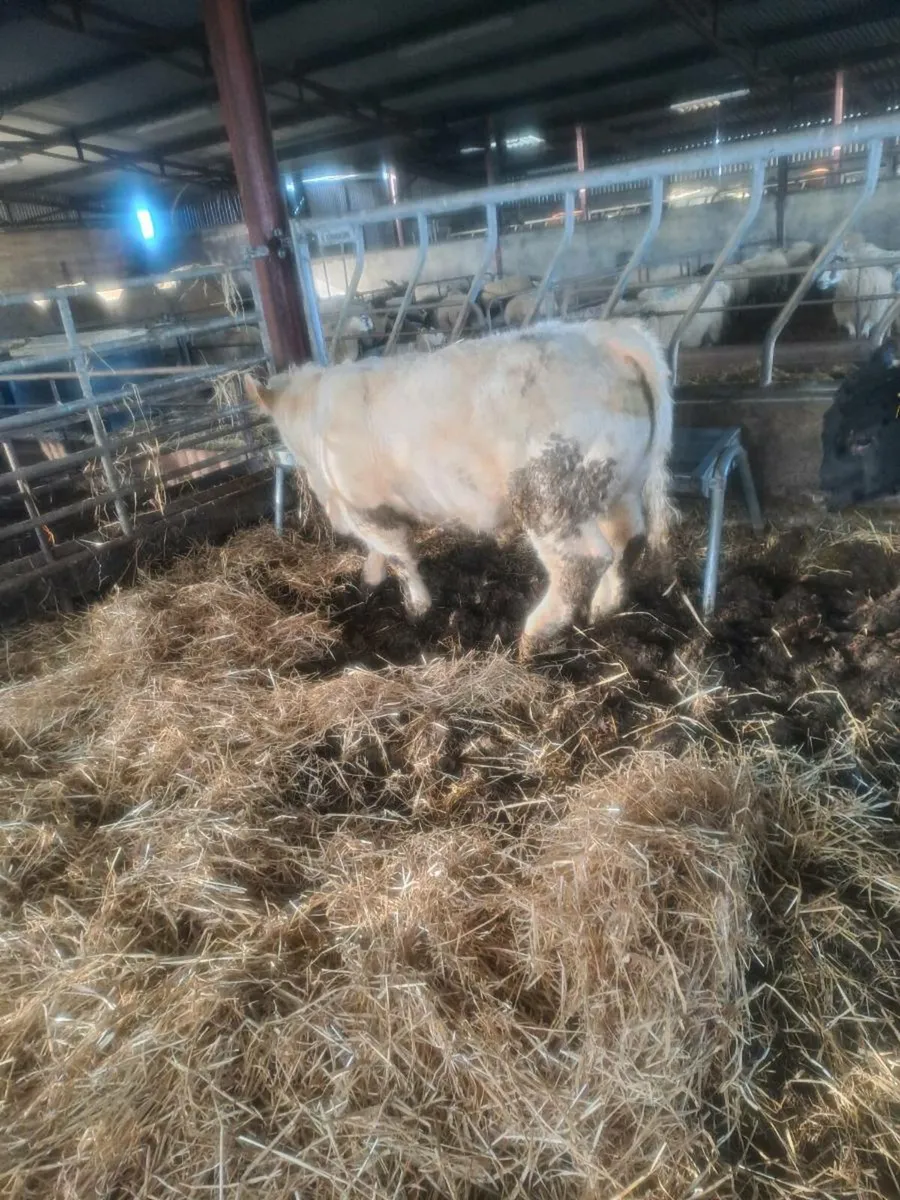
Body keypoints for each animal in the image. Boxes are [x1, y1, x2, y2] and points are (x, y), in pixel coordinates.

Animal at [246, 318, 673, 650]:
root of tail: (603, 337)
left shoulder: (365, 504)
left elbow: (398, 553)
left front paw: (416, 609)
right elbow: (379, 551)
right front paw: (369, 580)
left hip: (548, 494)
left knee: (582, 559)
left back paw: (533, 636)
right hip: (619, 486)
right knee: (627, 539)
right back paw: (605, 608)